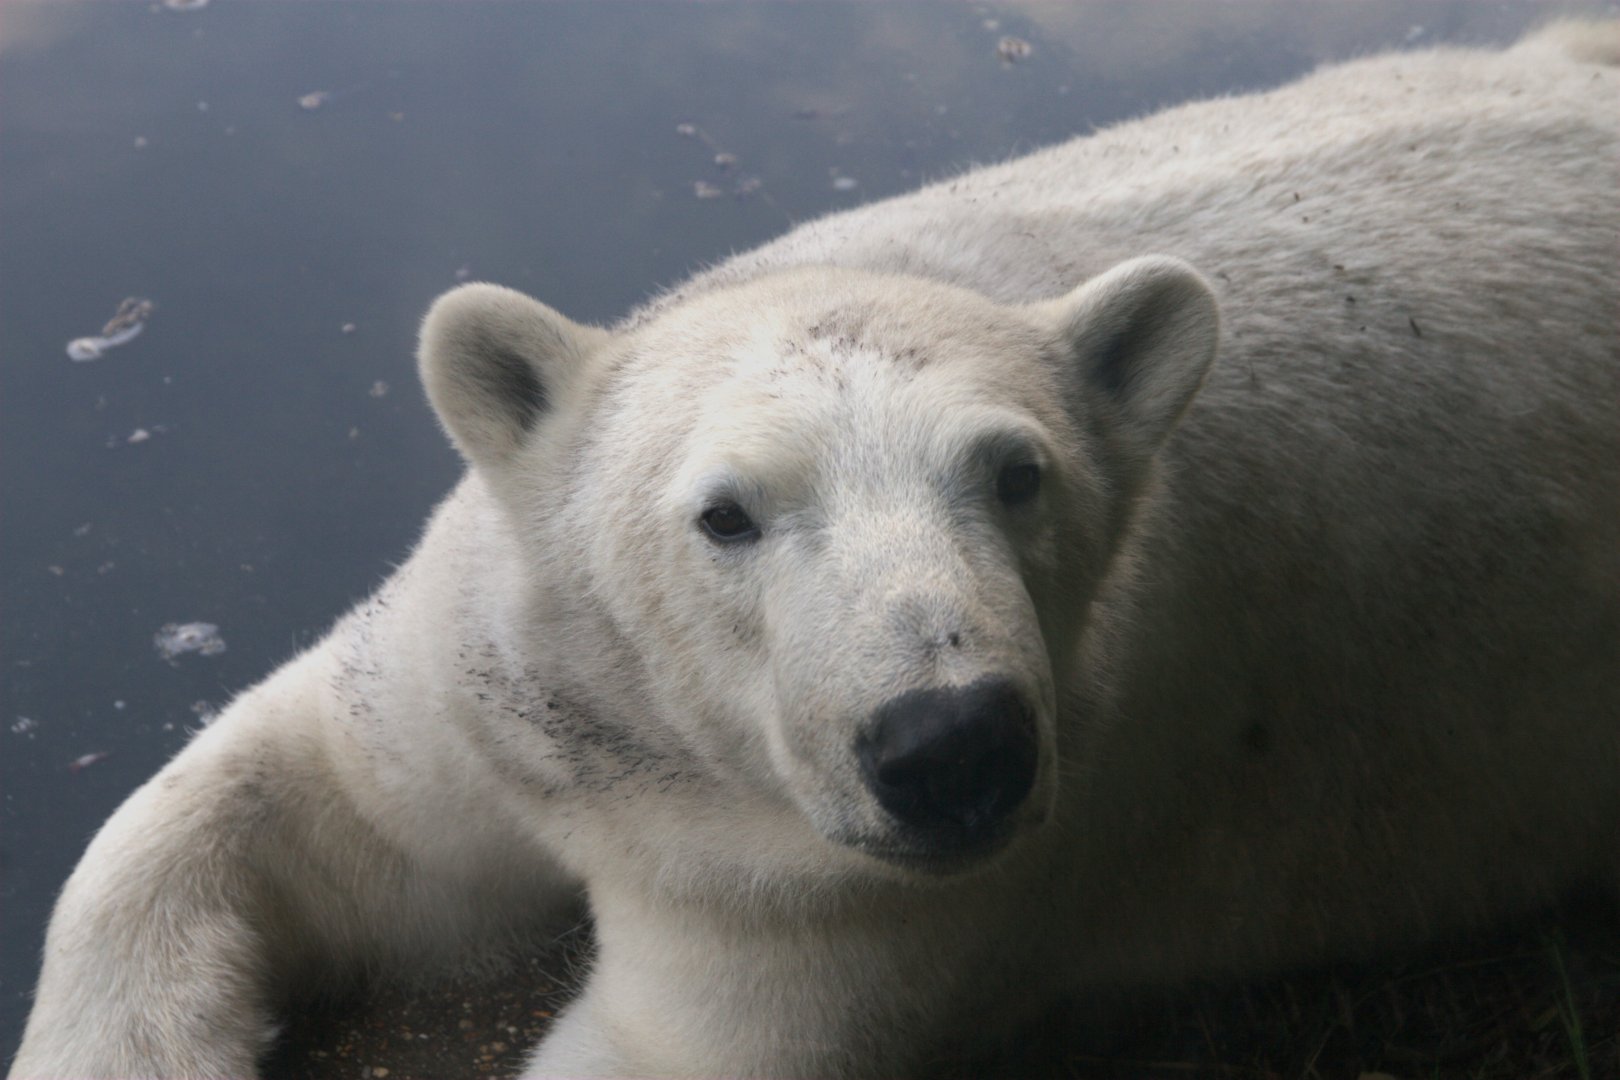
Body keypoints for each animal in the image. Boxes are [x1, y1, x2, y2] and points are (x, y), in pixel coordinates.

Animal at [10, 19, 1619, 1080]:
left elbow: (676, 1047)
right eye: (727, 512)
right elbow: (301, 799)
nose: (951, 744)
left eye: (1017, 476)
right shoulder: (501, 673)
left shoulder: (868, 892)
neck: (676, 762)